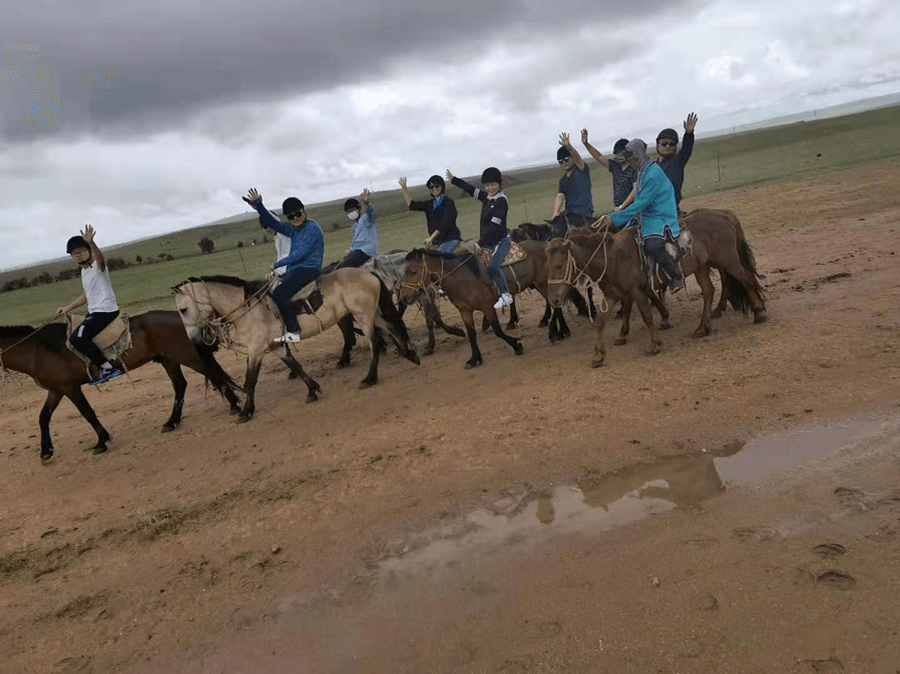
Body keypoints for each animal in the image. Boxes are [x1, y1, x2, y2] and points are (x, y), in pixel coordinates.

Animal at [0, 312, 243, 460]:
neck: (37, 351)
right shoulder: (56, 390)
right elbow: (43, 417)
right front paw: (46, 450)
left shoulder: (69, 388)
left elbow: (88, 413)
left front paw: (101, 441)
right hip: (169, 359)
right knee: (180, 385)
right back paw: (171, 422)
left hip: (188, 356)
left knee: (214, 376)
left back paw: (235, 407)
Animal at [174, 266, 420, 420]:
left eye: (183, 309)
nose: (193, 339)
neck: (249, 309)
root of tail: (367, 272)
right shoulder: (276, 347)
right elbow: (296, 366)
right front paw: (312, 390)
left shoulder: (256, 350)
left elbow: (250, 380)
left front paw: (246, 412)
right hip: (371, 314)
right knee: (391, 328)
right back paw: (409, 354)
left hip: (364, 317)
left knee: (375, 345)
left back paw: (370, 378)